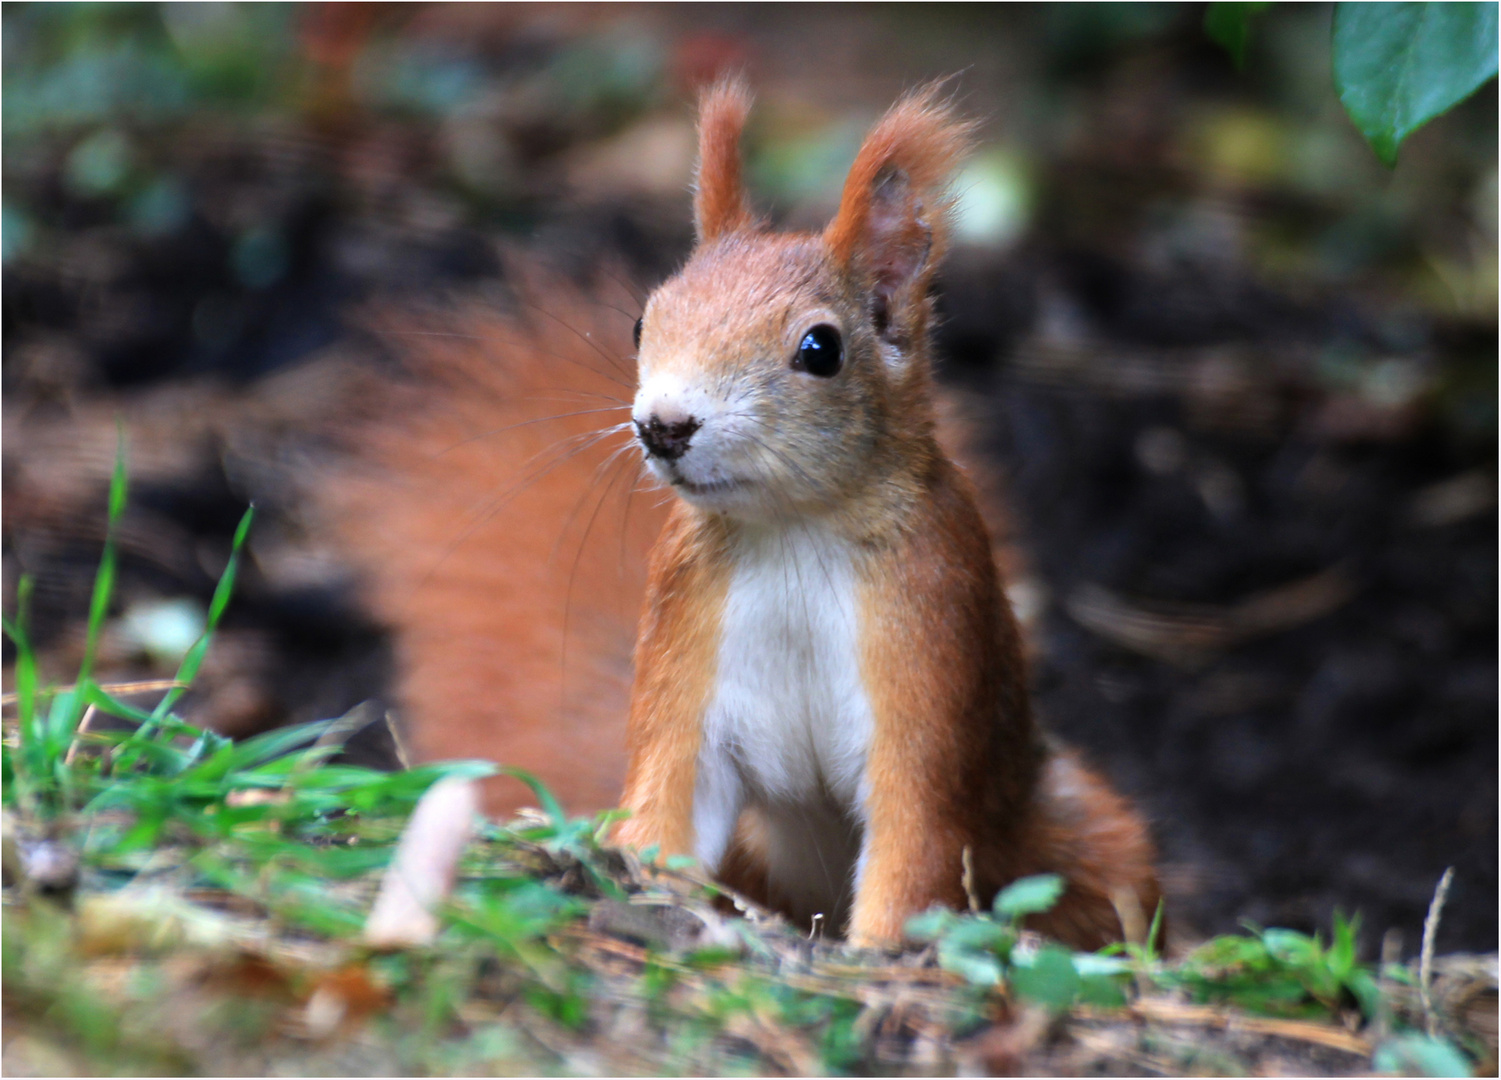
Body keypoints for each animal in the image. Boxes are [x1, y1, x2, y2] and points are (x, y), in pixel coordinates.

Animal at [322, 80, 1152, 948]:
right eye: (641, 322)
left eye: (820, 349)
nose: (663, 424)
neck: (792, 532)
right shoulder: (683, 650)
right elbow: (665, 810)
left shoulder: (928, 645)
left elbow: (914, 842)